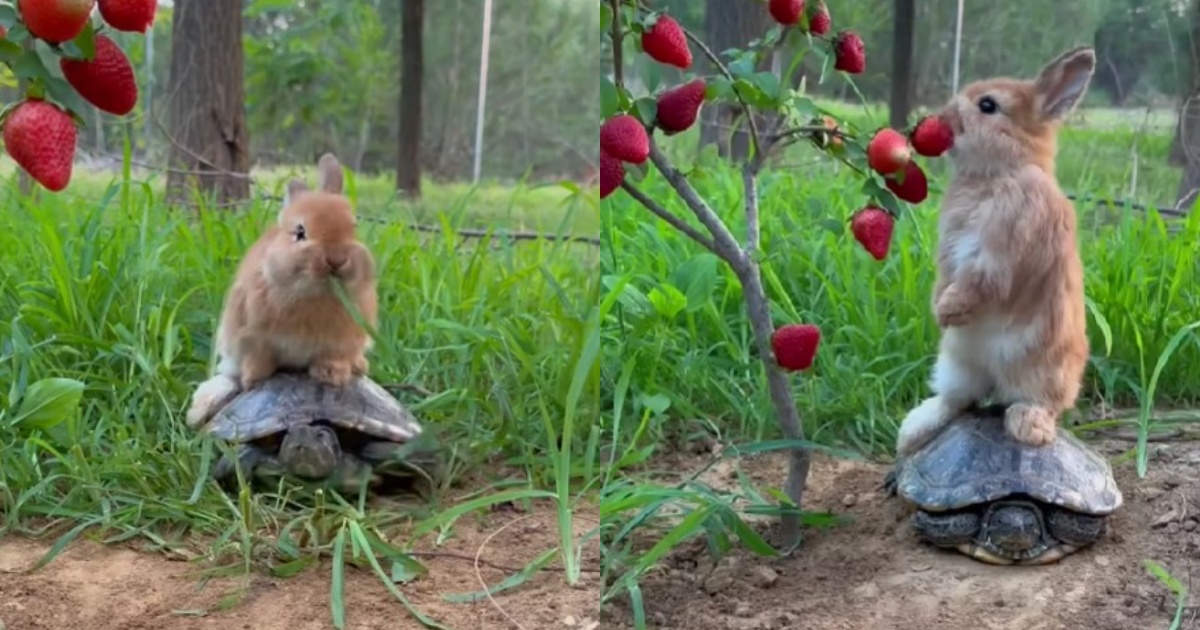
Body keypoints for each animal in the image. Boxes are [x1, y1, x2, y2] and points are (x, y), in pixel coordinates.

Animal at [185, 153, 378, 429]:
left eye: (353, 227)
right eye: (300, 232)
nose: (336, 260)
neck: (317, 293)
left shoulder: (342, 342)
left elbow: (334, 356)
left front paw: (332, 375)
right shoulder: (254, 337)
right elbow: (258, 361)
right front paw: (253, 381)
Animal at [894, 47, 1095, 457]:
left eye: (988, 105)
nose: (942, 117)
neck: (998, 173)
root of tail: (997, 381)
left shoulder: (1001, 256)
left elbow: (980, 283)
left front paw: (948, 310)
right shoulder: (951, 253)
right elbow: (947, 278)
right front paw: (939, 310)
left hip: (1044, 370)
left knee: (1040, 403)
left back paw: (1029, 428)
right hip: (957, 364)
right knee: (956, 400)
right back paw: (911, 433)